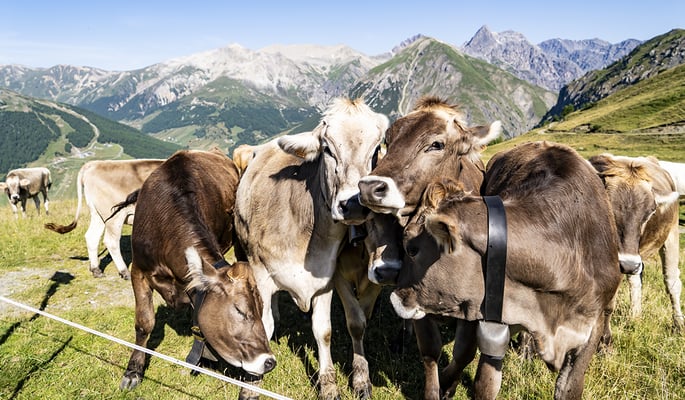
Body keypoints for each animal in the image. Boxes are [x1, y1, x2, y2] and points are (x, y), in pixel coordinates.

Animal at [113, 150, 274, 396]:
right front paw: (133, 371)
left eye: (261, 308)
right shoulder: (138, 270)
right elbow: (144, 323)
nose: (269, 361)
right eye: (240, 310)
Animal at [235, 97, 388, 400]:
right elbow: (263, 324)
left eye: (377, 149)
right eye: (327, 149)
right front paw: (251, 385)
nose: (353, 204)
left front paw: (329, 384)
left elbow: (324, 331)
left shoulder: (325, 280)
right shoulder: (261, 273)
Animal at [390, 141, 620, 400]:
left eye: (411, 249)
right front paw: (447, 384)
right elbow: (482, 381)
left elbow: (569, 389)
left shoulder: (592, 325)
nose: (395, 297)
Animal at [588, 154, 684, 332]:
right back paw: (635, 316)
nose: (628, 264)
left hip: (670, 234)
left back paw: (679, 322)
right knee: (635, 281)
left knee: (672, 280)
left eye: (651, 211)